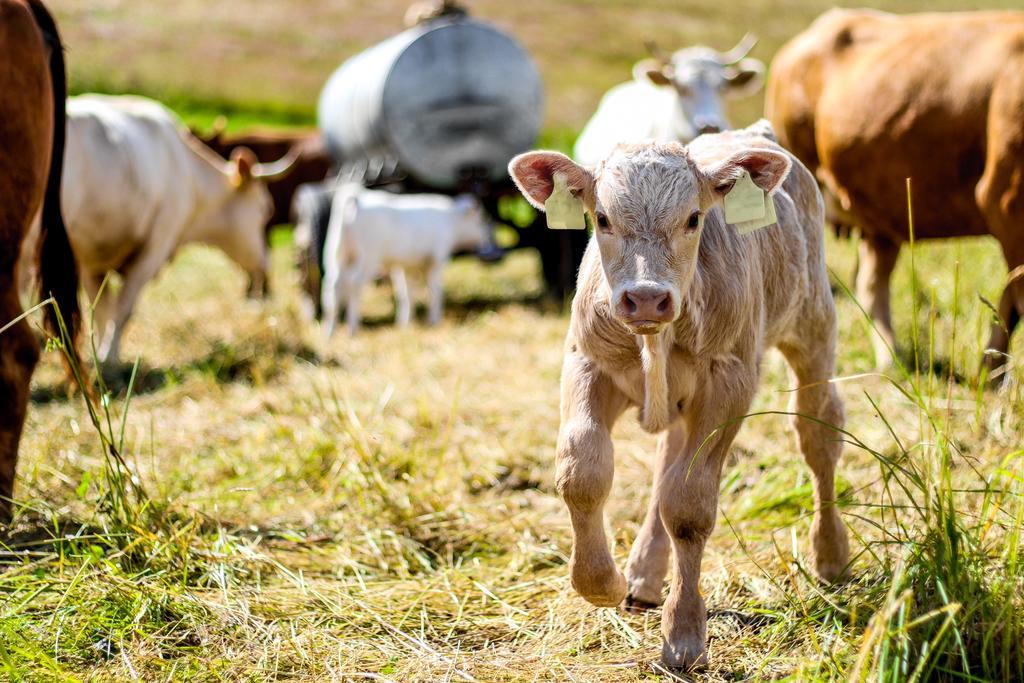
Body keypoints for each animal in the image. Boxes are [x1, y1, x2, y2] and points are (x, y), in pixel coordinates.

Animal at [22, 96, 296, 366]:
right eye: (265, 209)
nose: (266, 262)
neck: (189, 175)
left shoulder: (90, 258)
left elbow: (102, 309)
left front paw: (100, 354)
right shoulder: (154, 248)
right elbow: (123, 309)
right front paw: (110, 359)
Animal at [321, 188, 493, 337]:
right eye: (480, 220)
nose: (487, 237)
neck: (450, 220)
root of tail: (356, 198)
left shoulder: (405, 266)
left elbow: (406, 293)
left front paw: (405, 323)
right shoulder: (436, 260)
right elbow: (435, 291)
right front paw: (434, 320)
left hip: (336, 253)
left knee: (333, 283)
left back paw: (330, 331)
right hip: (368, 256)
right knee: (354, 283)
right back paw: (352, 328)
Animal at [770, 7, 1024, 376]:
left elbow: (1009, 301)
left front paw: (990, 373)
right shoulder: (1005, 199)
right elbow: (1018, 299)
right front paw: (993, 375)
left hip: (881, 209)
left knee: (872, 282)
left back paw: (891, 357)